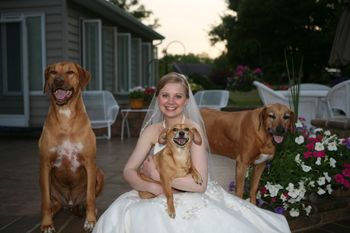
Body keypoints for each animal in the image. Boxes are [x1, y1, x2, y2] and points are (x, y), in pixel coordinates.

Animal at [38, 62, 104, 233]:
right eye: (53, 72)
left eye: (70, 72)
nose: (58, 81)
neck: (65, 115)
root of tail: (70, 203)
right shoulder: (45, 163)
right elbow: (45, 201)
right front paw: (47, 224)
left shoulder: (90, 162)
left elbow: (90, 196)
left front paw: (90, 221)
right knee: (52, 203)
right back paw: (54, 210)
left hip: (100, 173)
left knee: (87, 200)